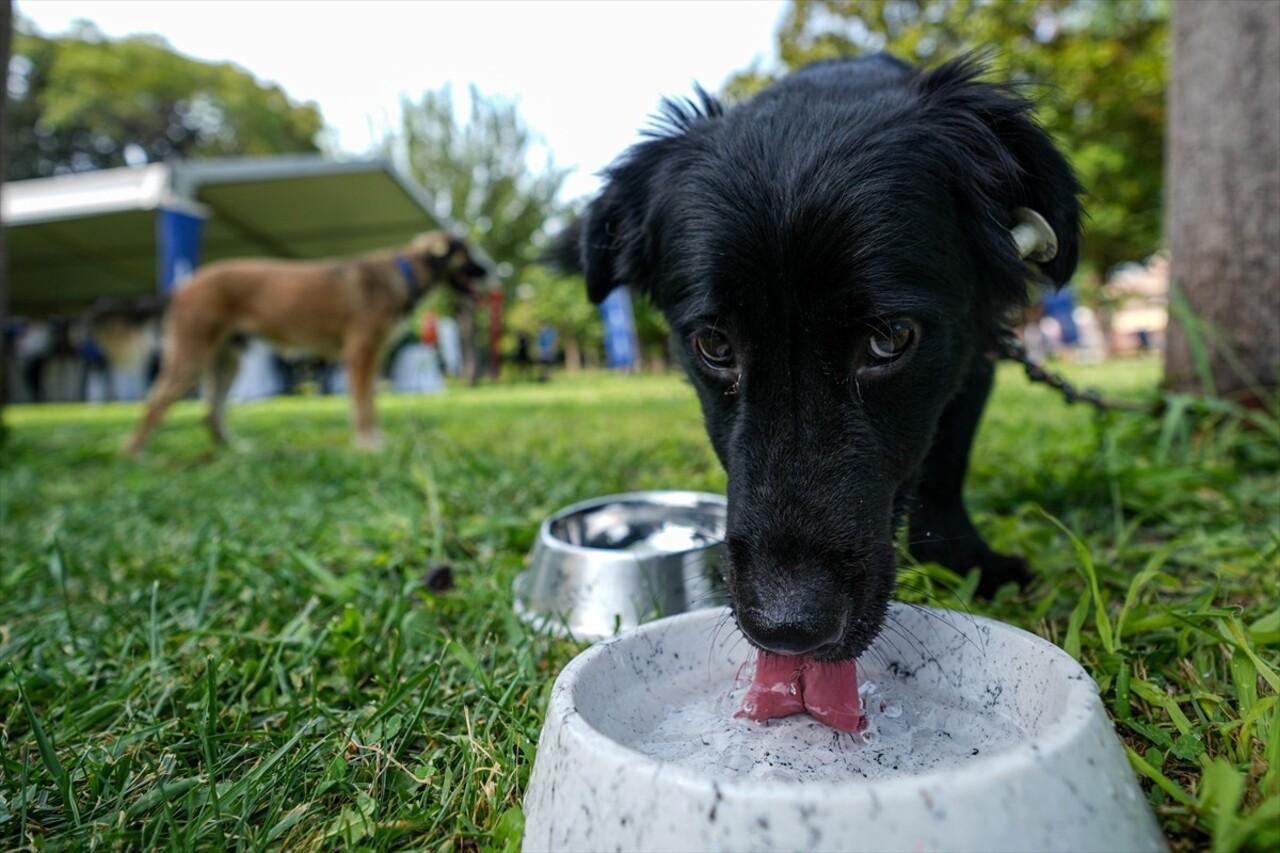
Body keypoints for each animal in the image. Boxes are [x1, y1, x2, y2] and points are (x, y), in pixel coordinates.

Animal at [124, 225, 483, 450]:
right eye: (468, 253)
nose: (490, 271)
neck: (403, 273)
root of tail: (180, 287)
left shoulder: (371, 358)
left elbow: (369, 402)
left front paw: (372, 440)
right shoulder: (360, 354)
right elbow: (364, 405)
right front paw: (369, 444)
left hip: (226, 361)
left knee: (211, 412)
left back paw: (233, 449)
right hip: (191, 356)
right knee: (155, 402)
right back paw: (135, 453)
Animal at [558, 53, 1080, 666]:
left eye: (891, 338)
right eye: (714, 346)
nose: (788, 629)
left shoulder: (976, 356)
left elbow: (944, 465)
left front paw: (965, 560)